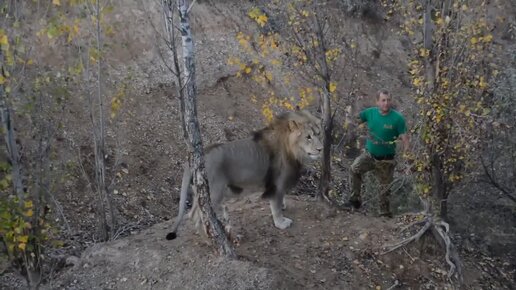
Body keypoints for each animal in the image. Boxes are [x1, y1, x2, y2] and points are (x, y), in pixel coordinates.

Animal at [166, 109, 322, 240]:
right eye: (308, 137)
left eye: (319, 134)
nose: (321, 149)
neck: (293, 150)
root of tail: (191, 160)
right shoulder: (276, 184)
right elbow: (276, 206)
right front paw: (281, 222)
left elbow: (281, 199)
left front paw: (284, 206)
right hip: (214, 192)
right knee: (196, 217)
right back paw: (210, 240)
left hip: (199, 192)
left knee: (191, 213)